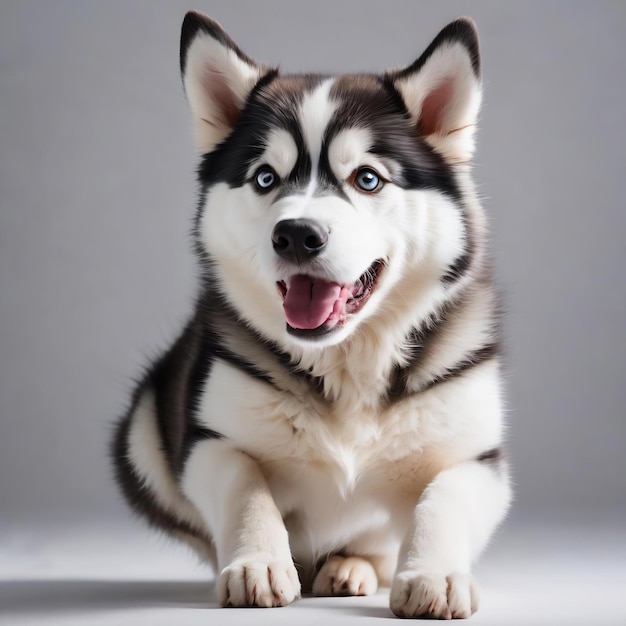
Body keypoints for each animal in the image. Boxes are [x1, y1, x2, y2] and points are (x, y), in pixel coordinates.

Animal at [112, 12, 510, 616]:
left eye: (367, 178)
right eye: (265, 178)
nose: (297, 234)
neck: (347, 361)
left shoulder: (480, 459)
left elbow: (444, 496)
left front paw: (435, 574)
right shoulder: (207, 441)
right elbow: (244, 482)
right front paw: (257, 561)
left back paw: (350, 566)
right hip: (141, 425)